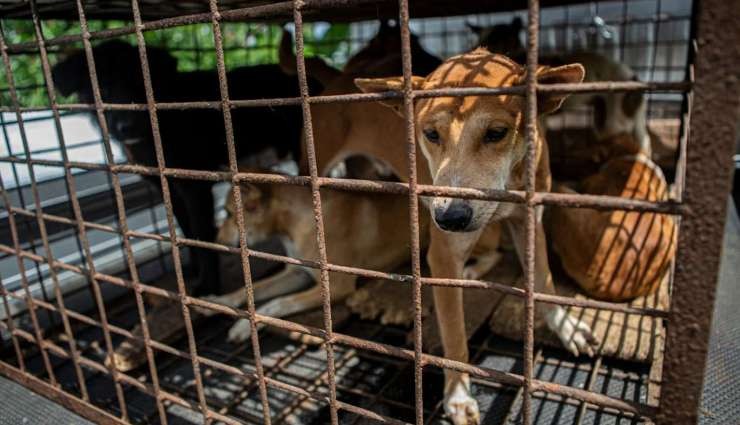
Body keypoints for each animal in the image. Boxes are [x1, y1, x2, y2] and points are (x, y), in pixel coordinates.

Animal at [55, 40, 324, 294]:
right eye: (103, 89)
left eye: (140, 86)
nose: (126, 126)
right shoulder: (169, 188)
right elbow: (187, 230)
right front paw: (193, 268)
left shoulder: (195, 189)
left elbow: (202, 236)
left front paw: (207, 285)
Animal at [356, 48, 600, 422]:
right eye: (431, 134)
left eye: (497, 132)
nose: (449, 217)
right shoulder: (442, 255)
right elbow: (455, 334)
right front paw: (458, 394)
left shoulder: (529, 222)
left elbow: (543, 281)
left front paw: (565, 326)